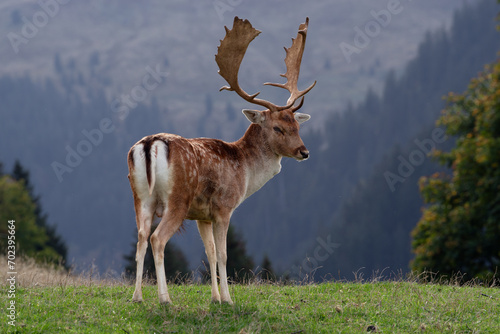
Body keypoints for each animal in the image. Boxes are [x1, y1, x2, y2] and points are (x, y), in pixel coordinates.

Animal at [127, 16, 314, 306]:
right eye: (277, 128)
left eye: (297, 125)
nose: (304, 152)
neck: (245, 171)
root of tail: (150, 144)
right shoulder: (224, 206)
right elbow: (224, 254)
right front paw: (228, 299)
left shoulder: (202, 215)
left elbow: (211, 253)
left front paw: (215, 298)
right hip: (177, 198)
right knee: (157, 239)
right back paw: (165, 299)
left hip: (140, 197)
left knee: (140, 239)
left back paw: (137, 297)